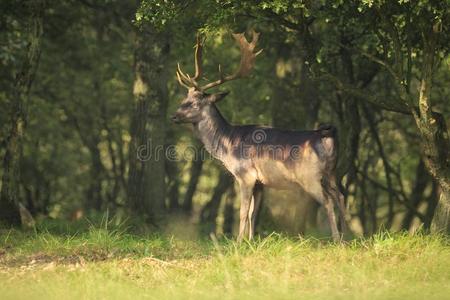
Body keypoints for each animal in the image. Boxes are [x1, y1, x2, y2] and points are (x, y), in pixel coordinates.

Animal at [172, 30, 348, 241]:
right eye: (185, 98)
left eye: (194, 103)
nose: (174, 116)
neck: (228, 144)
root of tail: (329, 136)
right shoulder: (261, 182)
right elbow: (253, 213)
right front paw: (250, 241)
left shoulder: (245, 174)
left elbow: (243, 212)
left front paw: (238, 242)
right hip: (332, 172)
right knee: (341, 196)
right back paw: (348, 238)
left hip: (310, 176)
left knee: (328, 201)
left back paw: (337, 239)